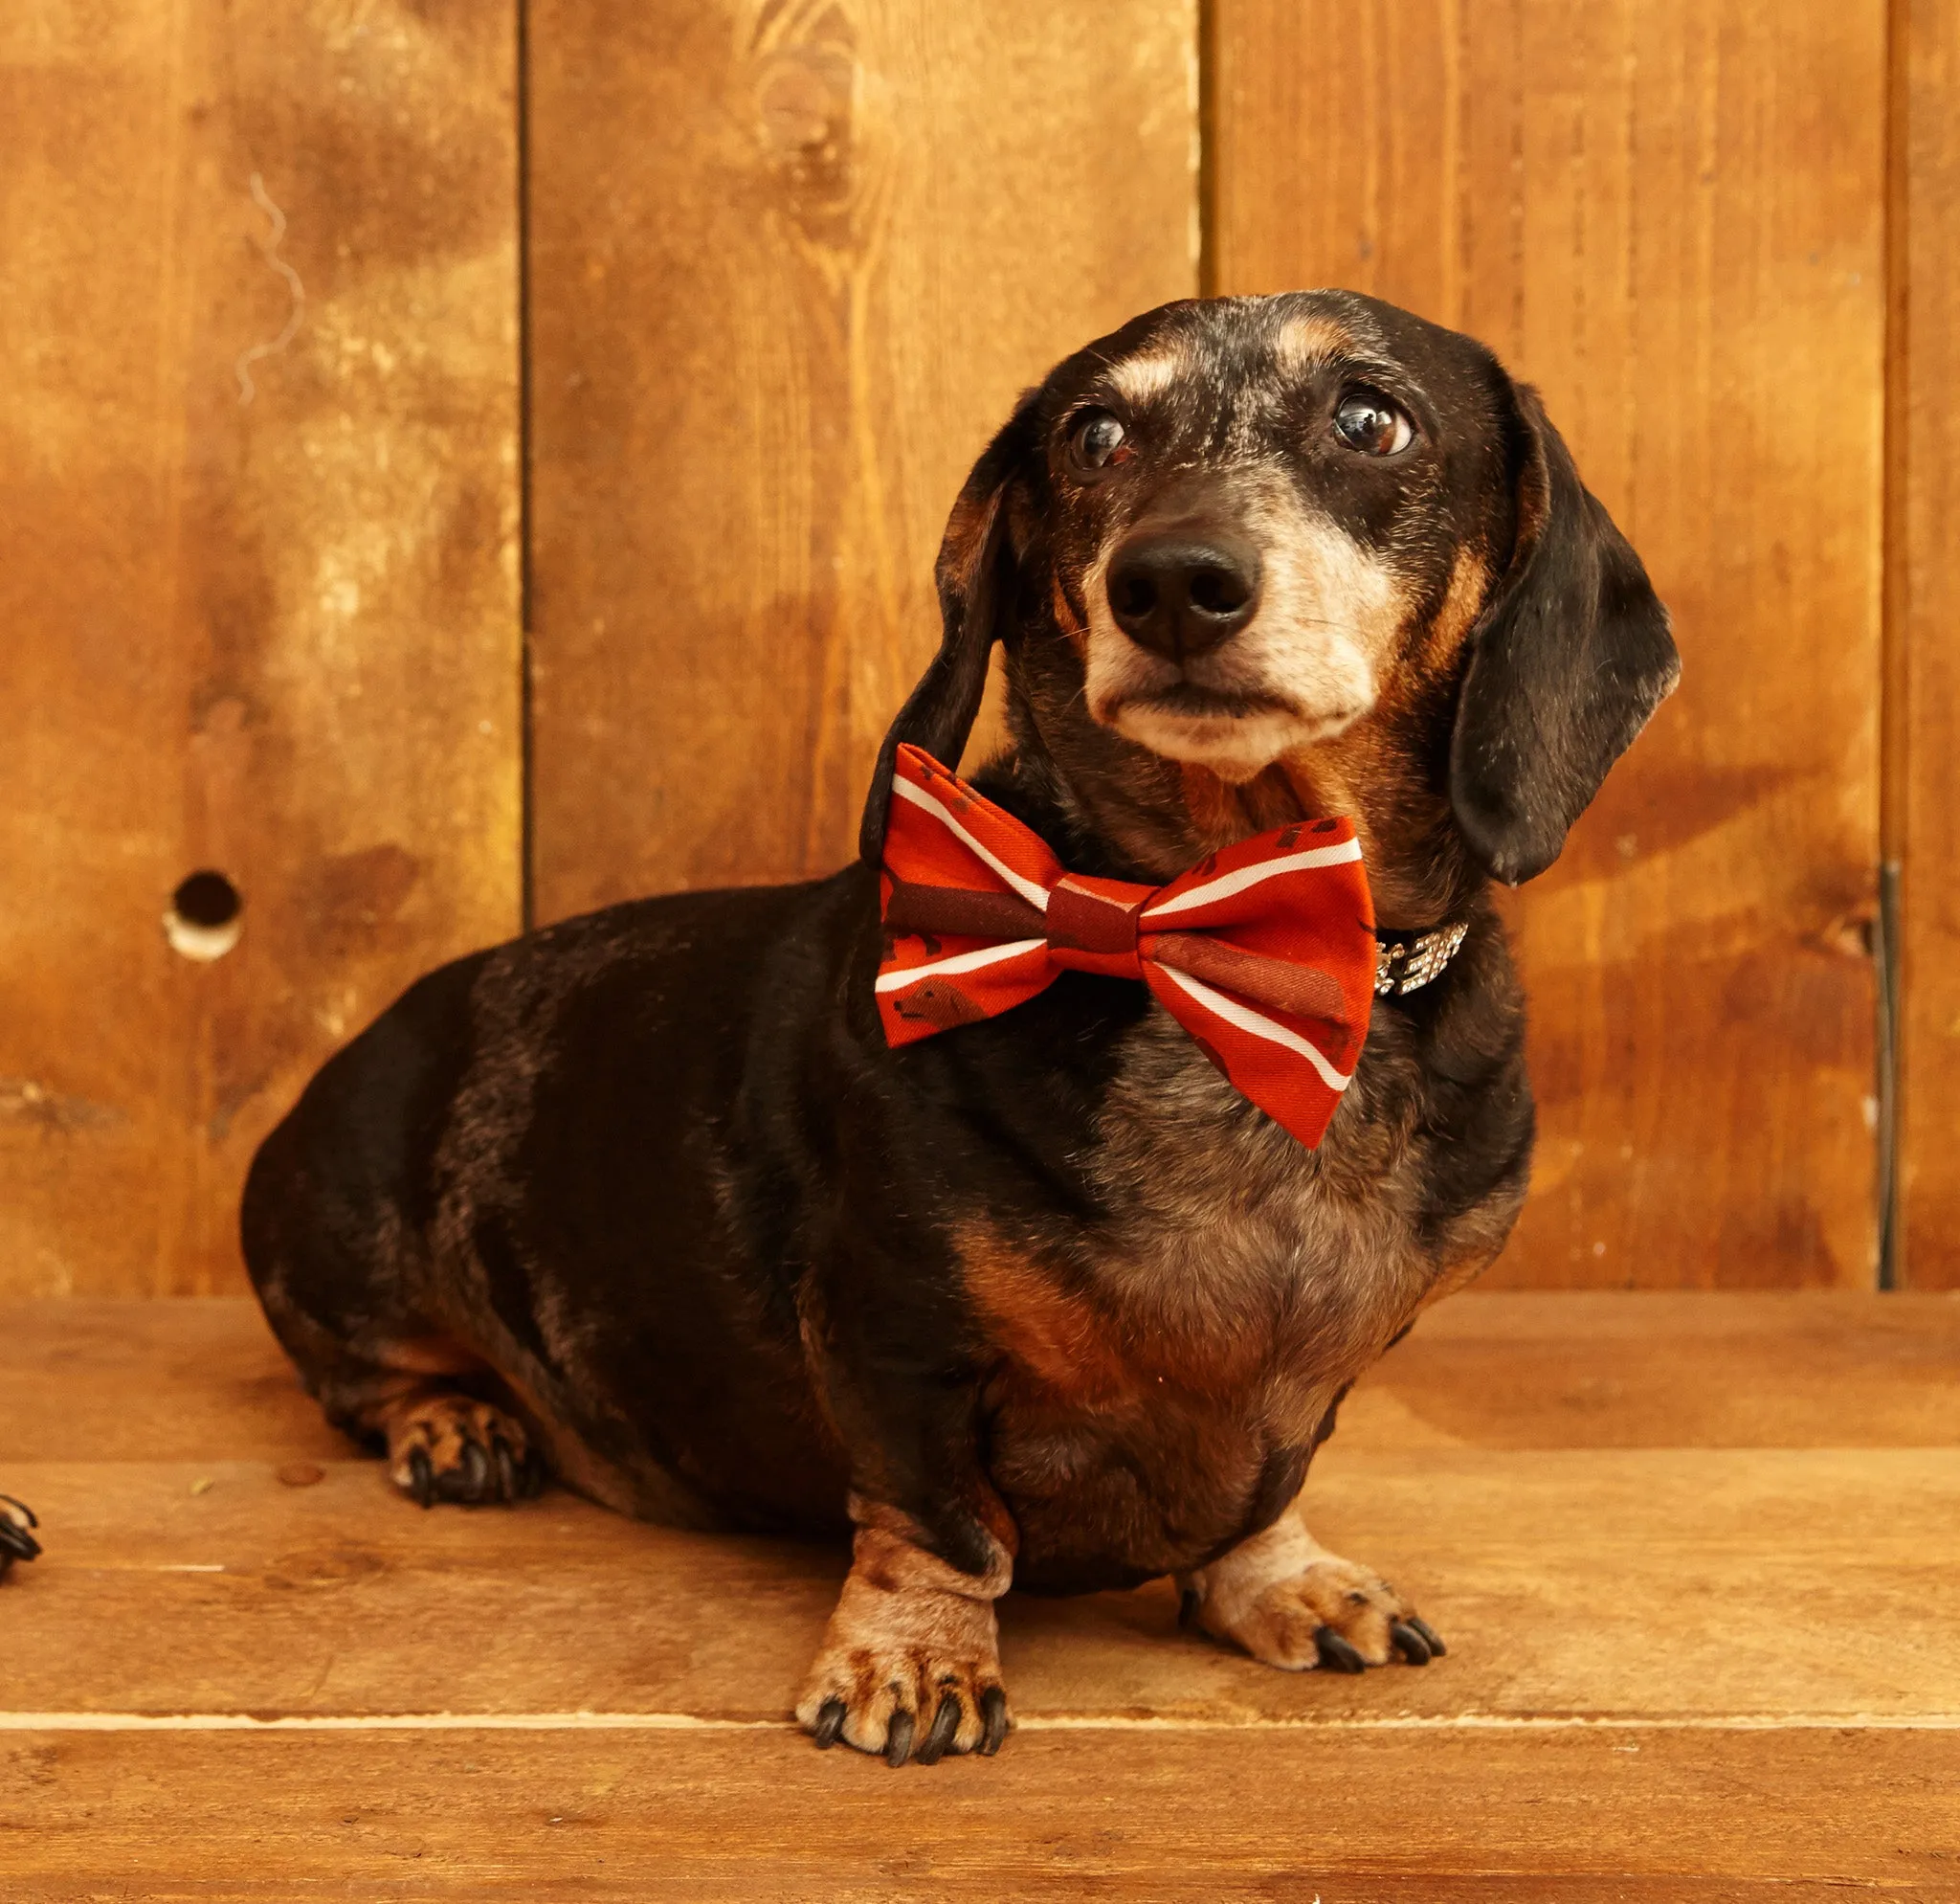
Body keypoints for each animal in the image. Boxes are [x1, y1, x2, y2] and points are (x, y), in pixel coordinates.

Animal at [240, 290, 1669, 1764]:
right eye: (1093, 435)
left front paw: (1283, 1582)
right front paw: (913, 1661)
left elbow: (1265, 1493)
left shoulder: (1312, 1387)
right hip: (349, 1250)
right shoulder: (891, 1328)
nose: (1171, 582)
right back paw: (452, 1423)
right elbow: (938, 1521)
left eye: (1371, 418)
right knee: (361, 1378)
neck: (1207, 944)